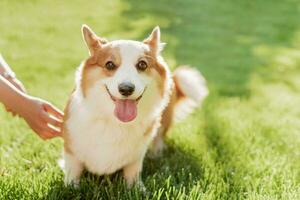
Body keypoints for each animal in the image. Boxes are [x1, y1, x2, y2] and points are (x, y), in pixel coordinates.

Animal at [62, 24, 209, 186]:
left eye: (142, 64)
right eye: (110, 64)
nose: (126, 89)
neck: (115, 122)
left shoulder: (136, 156)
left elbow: (133, 172)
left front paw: (137, 187)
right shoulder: (71, 150)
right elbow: (73, 170)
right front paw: (71, 186)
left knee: (159, 137)